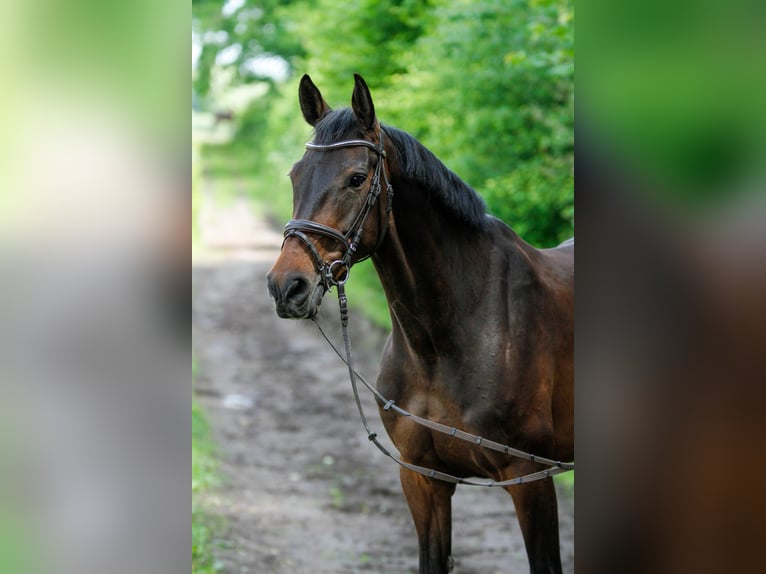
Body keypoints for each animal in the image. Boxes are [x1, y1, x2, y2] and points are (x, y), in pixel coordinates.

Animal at [266, 74, 574, 574]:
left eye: (356, 179)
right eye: (296, 174)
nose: (286, 286)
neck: (444, 339)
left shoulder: (529, 476)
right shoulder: (422, 477)